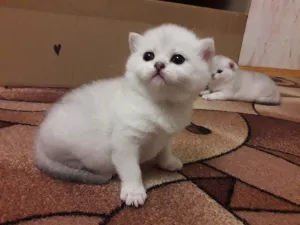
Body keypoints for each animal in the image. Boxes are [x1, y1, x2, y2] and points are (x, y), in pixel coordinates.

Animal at [35, 23, 214, 207]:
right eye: (148, 56)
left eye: (178, 59)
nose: (158, 65)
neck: (160, 104)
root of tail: (38, 144)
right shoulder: (126, 143)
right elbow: (132, 170)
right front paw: (134, 192)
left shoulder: (166, 136)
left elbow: (165, 150)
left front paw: (168, 162)